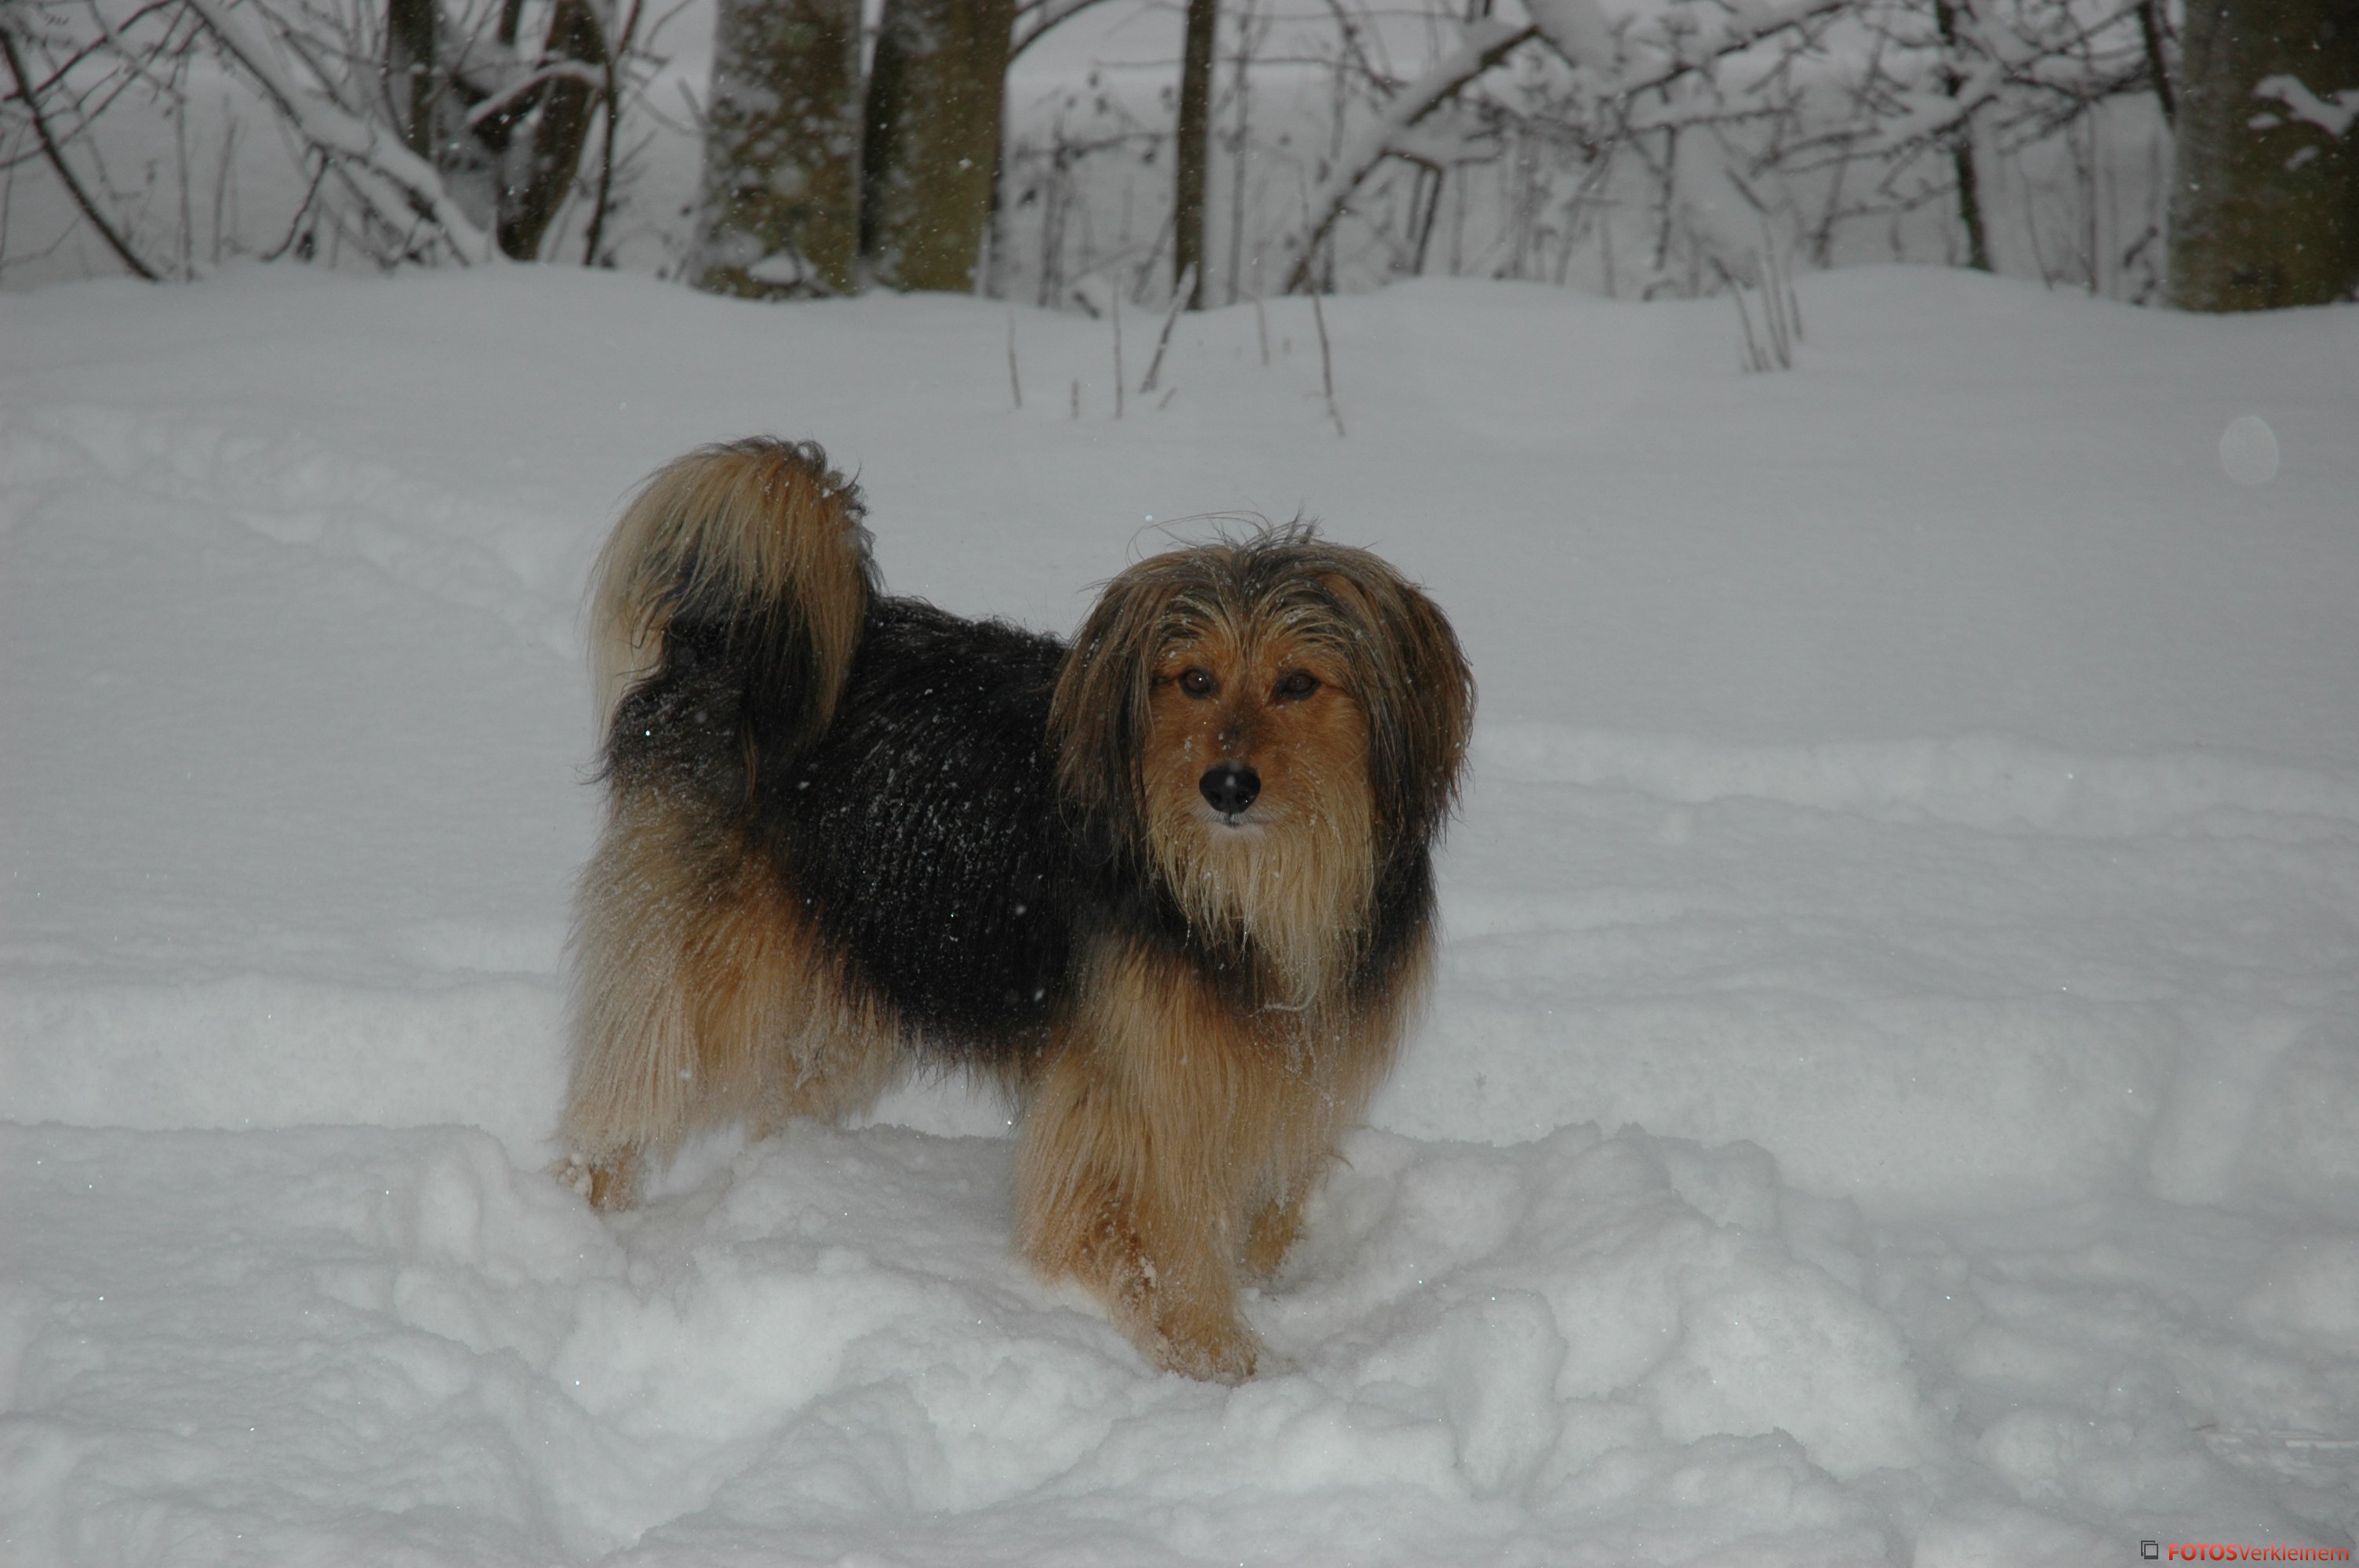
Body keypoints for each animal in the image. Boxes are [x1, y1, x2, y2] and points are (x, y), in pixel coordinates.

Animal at [558, 434, 1462, 1377]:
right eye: (1194, 680)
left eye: (1297, 684)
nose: (1226, 786)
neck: (1245, 887)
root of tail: (728, 642)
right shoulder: (1129, 1096)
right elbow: (1153, 1241)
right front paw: (1222, 1359)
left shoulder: (1285, 1079)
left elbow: (1264, 1205)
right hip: (708, 970)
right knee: (623, 1095)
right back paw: (582, 1221)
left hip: (846, 984)